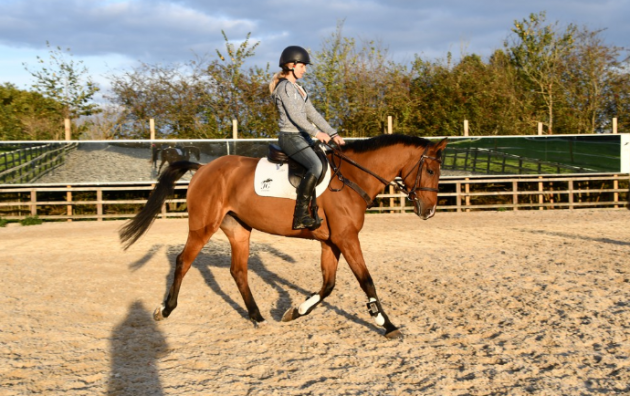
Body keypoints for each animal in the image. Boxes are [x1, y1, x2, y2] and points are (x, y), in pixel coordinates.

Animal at [119, 135, 450, 338]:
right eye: (431, 171)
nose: (430, 211)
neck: (351, 178)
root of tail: (202, 168)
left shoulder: (331, 242)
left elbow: (328, 285)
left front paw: (295, 311)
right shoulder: (346, 239)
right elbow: (366, 280)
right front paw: (387, 324)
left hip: (239, 229)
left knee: (238, 271)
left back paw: (257, 317)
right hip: (203, 227)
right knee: (183, 262)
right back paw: (165, 310)